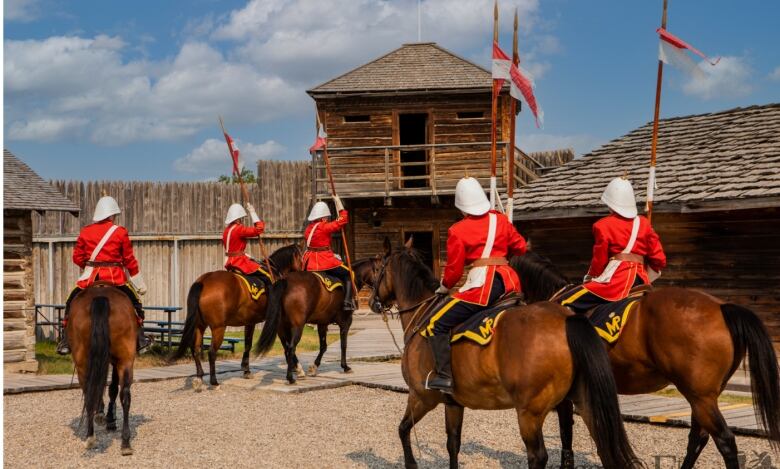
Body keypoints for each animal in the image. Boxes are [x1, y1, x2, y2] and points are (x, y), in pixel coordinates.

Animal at [68, 284, 137, 456]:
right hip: (125, 359)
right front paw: (107, 417)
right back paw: (125, 443)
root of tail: (101, 295)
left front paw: (105, 416)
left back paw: (91, 436)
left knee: (89, 393)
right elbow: (111, 387)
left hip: (83, 363)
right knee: (125, 394)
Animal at [171, 241, 302, 388]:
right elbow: (287, 344)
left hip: (199, 325)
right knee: (211, 352)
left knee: (196, 349)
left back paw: (199, 377)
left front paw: (246, 370)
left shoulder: (250, 321)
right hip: (218, 328)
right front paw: (297, 368)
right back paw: (214, 381)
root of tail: (204, 281)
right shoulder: (278, 321)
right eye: (302, 257)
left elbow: (248, 343)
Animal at [254, 256, 376, 384]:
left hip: (282, 326)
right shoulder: (346, 322)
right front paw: (345, 367)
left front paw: (313, 368)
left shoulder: (323, 323)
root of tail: (285, 281)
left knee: (287, 347)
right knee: (291, 347)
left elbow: (323, 346)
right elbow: (343, 345)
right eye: (379, 270)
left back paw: (297, 370)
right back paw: (291, 377)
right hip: (297, 326)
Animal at [362, 239, 640, 468]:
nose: (373, 302)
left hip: (529, 413)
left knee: (538, 457)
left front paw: (410, 463)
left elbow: (403, 429)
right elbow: (453, 445)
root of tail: (566, 319)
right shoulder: (453, 403)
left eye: (376, 267)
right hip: (583, 402)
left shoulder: (421, 397)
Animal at [512, 252, 780, 468]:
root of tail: (723, 308)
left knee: (724, 440)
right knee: (698, 437)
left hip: (700, 397)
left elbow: (567, 431)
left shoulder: (565, 395)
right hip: (703, 397)